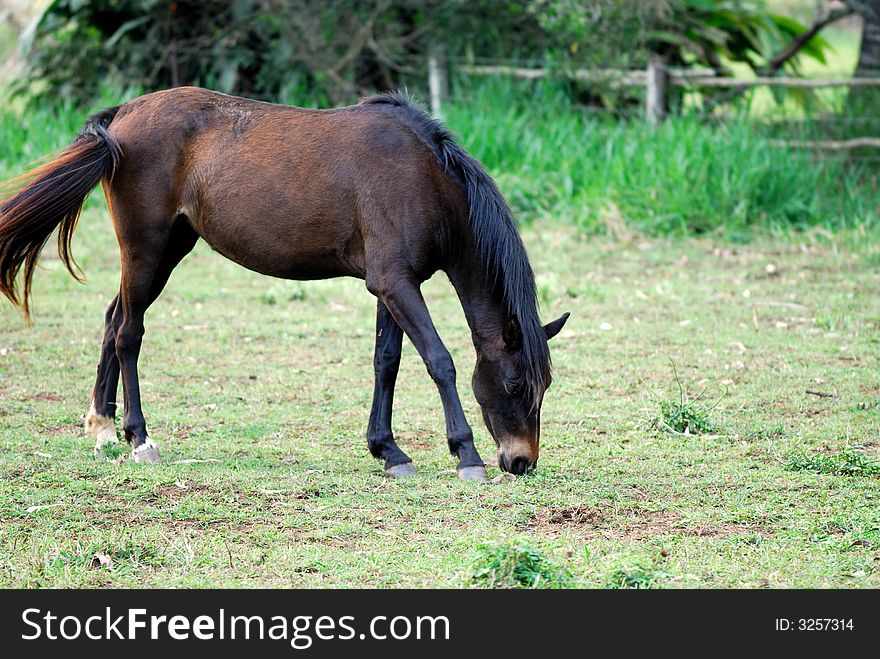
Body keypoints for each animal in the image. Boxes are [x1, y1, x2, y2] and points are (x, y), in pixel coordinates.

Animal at [0, 87, 572, 482]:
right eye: (515, 385)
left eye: (544, 387)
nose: (521, 462)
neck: (423, 178)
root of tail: (121, 117)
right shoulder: (398, 285)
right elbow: (440, 361)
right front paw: (466, 455)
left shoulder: (390, 286)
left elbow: (386, 363)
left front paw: (388, 451)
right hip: (146, 250)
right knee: (128, 334)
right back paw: (139, 438)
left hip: (166, 252)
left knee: (113, 319)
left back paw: (101, 427)